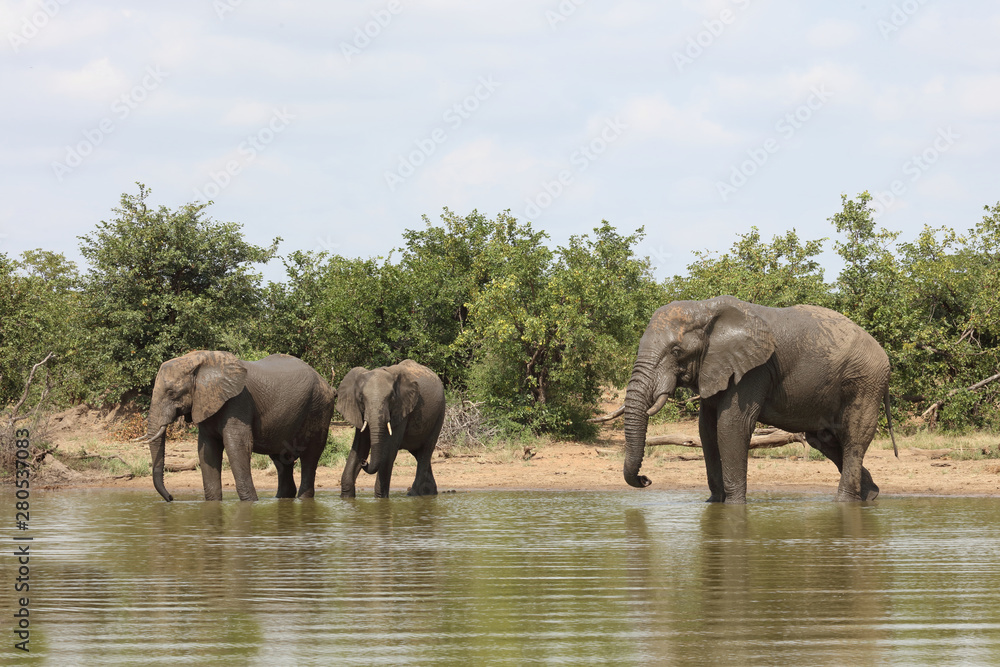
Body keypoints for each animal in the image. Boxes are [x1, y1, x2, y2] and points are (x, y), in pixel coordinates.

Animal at [135, 351, 337, 502]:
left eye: (171, 392)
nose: (171, 498)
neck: (200, 361)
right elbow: (207, 450)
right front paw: (213, 504)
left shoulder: (238, 401)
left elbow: (237, 446)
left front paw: (251, 502)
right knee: (281, 459)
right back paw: (282, 499)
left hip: (320, 407)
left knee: (311, 456)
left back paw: (303, 499)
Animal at [337, 359, 445, 498]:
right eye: (361, 398)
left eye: (392, 398)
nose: (364, 462)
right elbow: (360, 446)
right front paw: (346, 497)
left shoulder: (401, 409)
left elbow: (388, 450)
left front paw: (381, 499)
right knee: (418, 453)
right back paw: (429, 493)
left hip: (439, 414)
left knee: (425, 452)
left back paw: (414, 494)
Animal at [601, 296, 896, 504]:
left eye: (676, 351)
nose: (646, 479)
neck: (705, 309)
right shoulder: (717, 366)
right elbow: (707, 430)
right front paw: (713, 503)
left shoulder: (755, 369)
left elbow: (732, 426)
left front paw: (733, 506)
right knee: (824, 440)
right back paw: (869, 495)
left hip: (866, 380)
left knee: (854, 438)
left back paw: (844, 502)